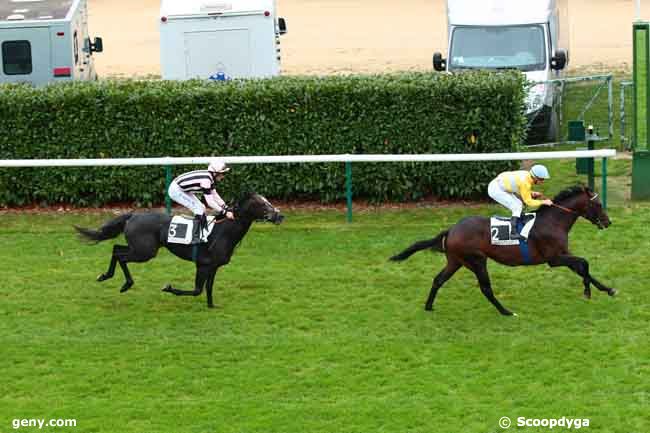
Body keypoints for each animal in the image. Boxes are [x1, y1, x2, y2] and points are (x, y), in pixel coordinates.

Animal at [74, 192, 282, 308]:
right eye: (261, 204)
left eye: (267, 201)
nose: (279, 216)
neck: (224, 230)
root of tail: (132, 216)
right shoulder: (203, 264)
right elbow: (197, 289)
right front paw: (169, 288)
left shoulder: (213, 266)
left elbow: (208, 288)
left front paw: (211, 306)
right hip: (145, 252)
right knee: (121, 255)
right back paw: (124, 283)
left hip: (141, 248)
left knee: (116, 248)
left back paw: (107, 276)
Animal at [390, 184, 612, 316]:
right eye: (599, 204)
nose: (608, 222)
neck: (553, 221)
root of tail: (451, 229)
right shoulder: (554, 259)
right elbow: (584, 263)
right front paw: (587, 292)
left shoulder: (563, 254)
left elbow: (582, 268)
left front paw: (607, 289)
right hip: (477, 261)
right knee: (486, 288)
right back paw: (506, 311)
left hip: (456, 261)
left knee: (438, 280)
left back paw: (428, 306)